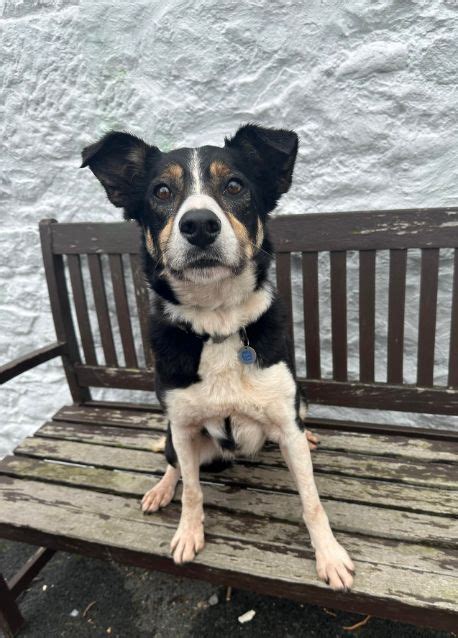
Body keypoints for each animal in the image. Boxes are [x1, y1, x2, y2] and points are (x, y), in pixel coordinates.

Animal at [81, 122, 354, 592]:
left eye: (234, 186)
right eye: (161, 191)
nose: (199, 225)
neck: (219, 322)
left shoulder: (285, 420)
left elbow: (312, 499)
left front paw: (330, 556)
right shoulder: (183, 426)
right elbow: (192, 490)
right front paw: (189, 533)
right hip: (184, 439)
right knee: (173, 462)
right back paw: (161, 488)